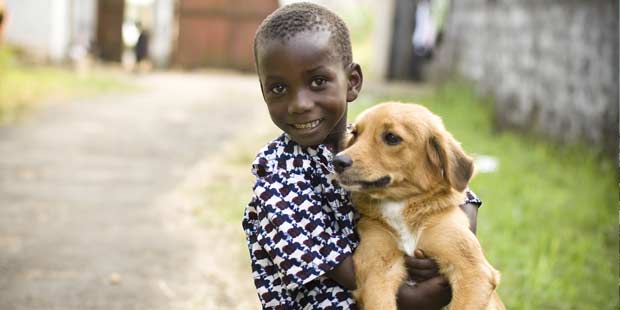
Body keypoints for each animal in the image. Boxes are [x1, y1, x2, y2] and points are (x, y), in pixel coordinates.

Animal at [334, 102, 504, 310]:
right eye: (355, 133)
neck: (400, 203)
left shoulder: (473, 270)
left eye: (391, 137)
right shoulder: (376, 270)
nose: (337, 161)